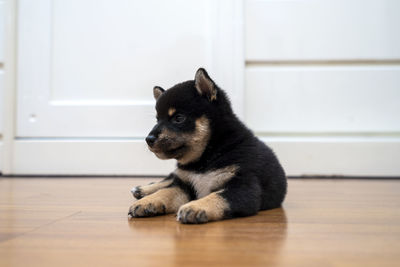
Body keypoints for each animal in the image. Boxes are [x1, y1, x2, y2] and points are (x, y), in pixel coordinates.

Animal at [129, 68, 288, 224]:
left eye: (178, 118)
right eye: (157, 120)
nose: (148, 139)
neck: (207, 156)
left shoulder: (243, 187)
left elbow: (217, 196)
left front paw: (195, 207)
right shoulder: (184, 184)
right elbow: (166, 191)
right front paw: (147, 202)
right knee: (168, 179)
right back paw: (143, 189)